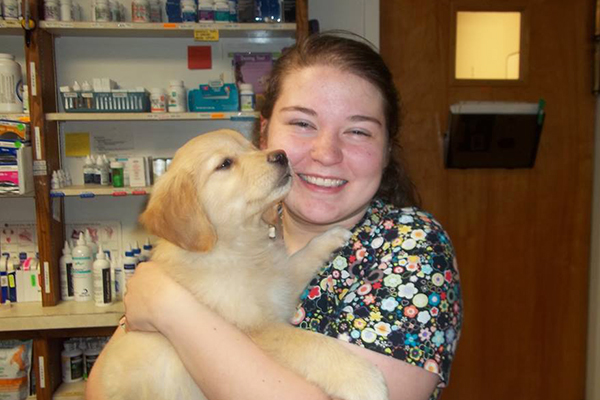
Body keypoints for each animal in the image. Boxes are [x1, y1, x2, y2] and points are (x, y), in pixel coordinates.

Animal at [97, 130, 390, 400]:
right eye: (225, 164)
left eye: (253, 147)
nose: (281, 155)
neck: (240, 248)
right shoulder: (255, 328)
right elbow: (312, 344)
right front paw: (365, 381)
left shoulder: (281, 284)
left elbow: (300, 258)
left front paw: (330, 236)